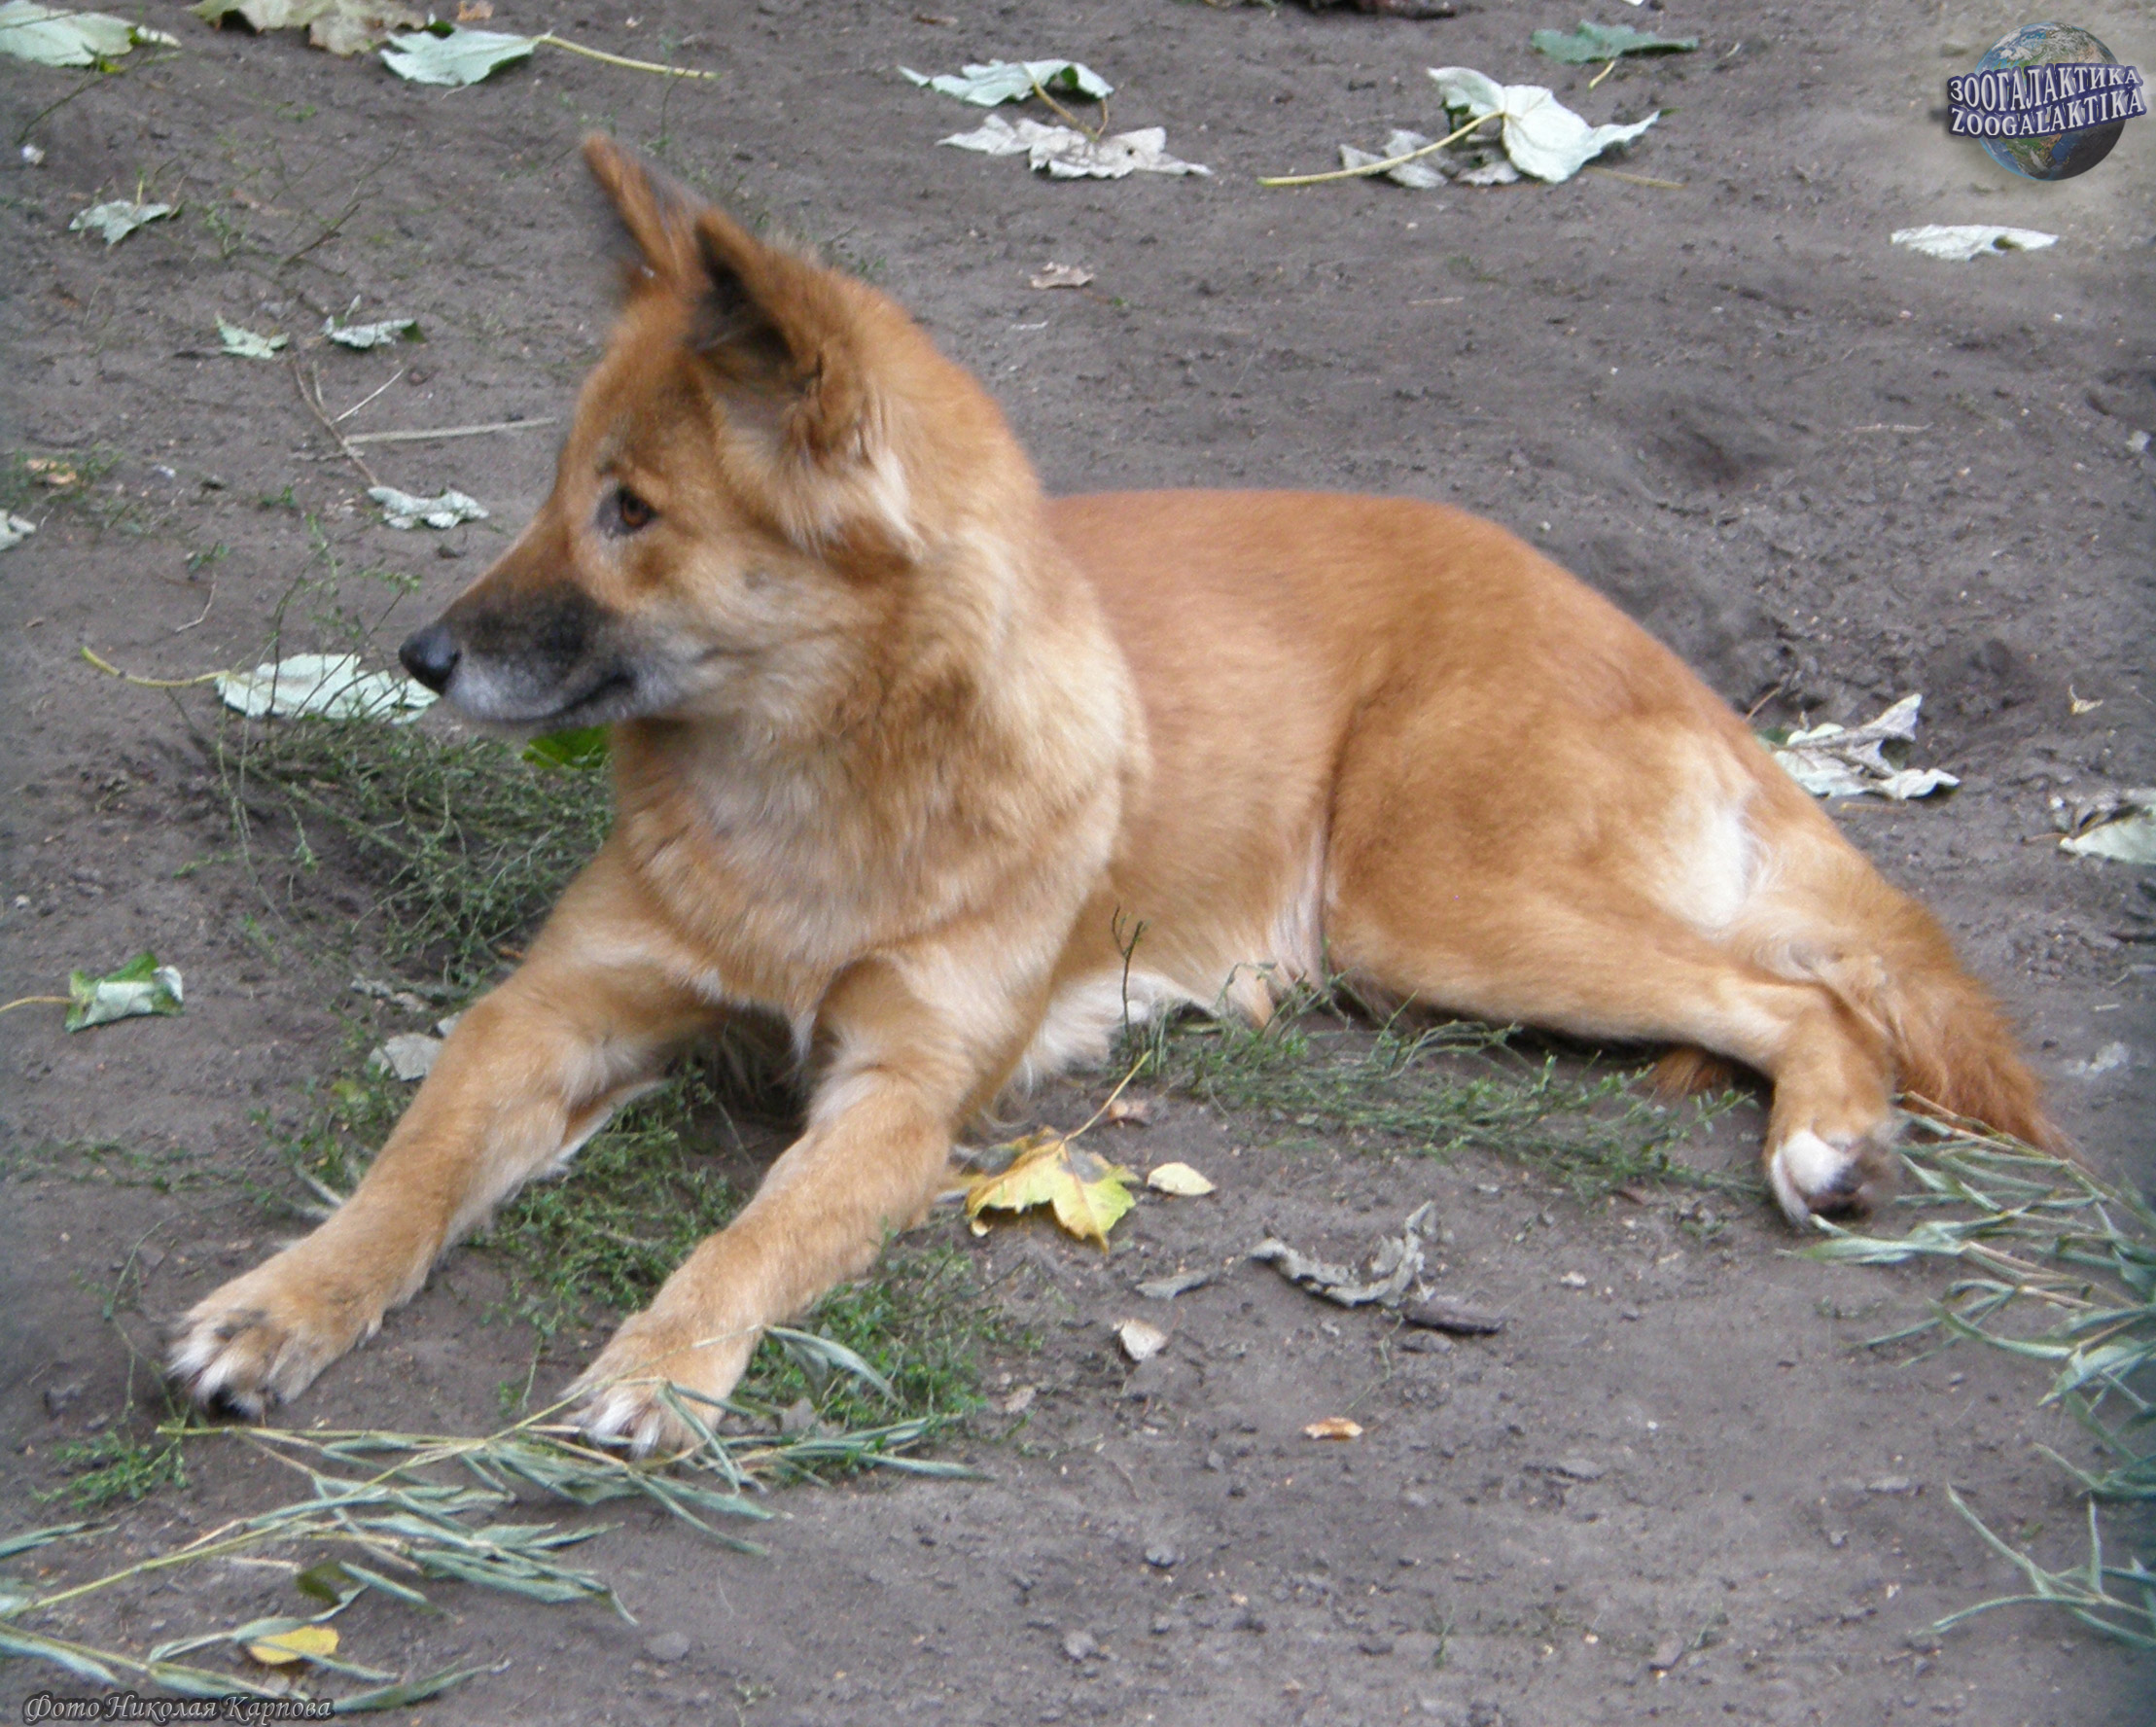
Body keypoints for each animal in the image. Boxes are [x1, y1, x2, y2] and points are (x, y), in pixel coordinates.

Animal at [170, 136, 2056, 1452]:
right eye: (560, 490)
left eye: (632, 512)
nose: (416, 654)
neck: (815, 791)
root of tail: (1634, 632)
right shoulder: (552, 1010)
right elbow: (408, 1173)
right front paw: (282, 1301)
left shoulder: (898, 1100)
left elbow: (752, 1240)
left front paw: (667, 1361)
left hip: (1433, 911)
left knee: (1802, 991)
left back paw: (1825, 1137)